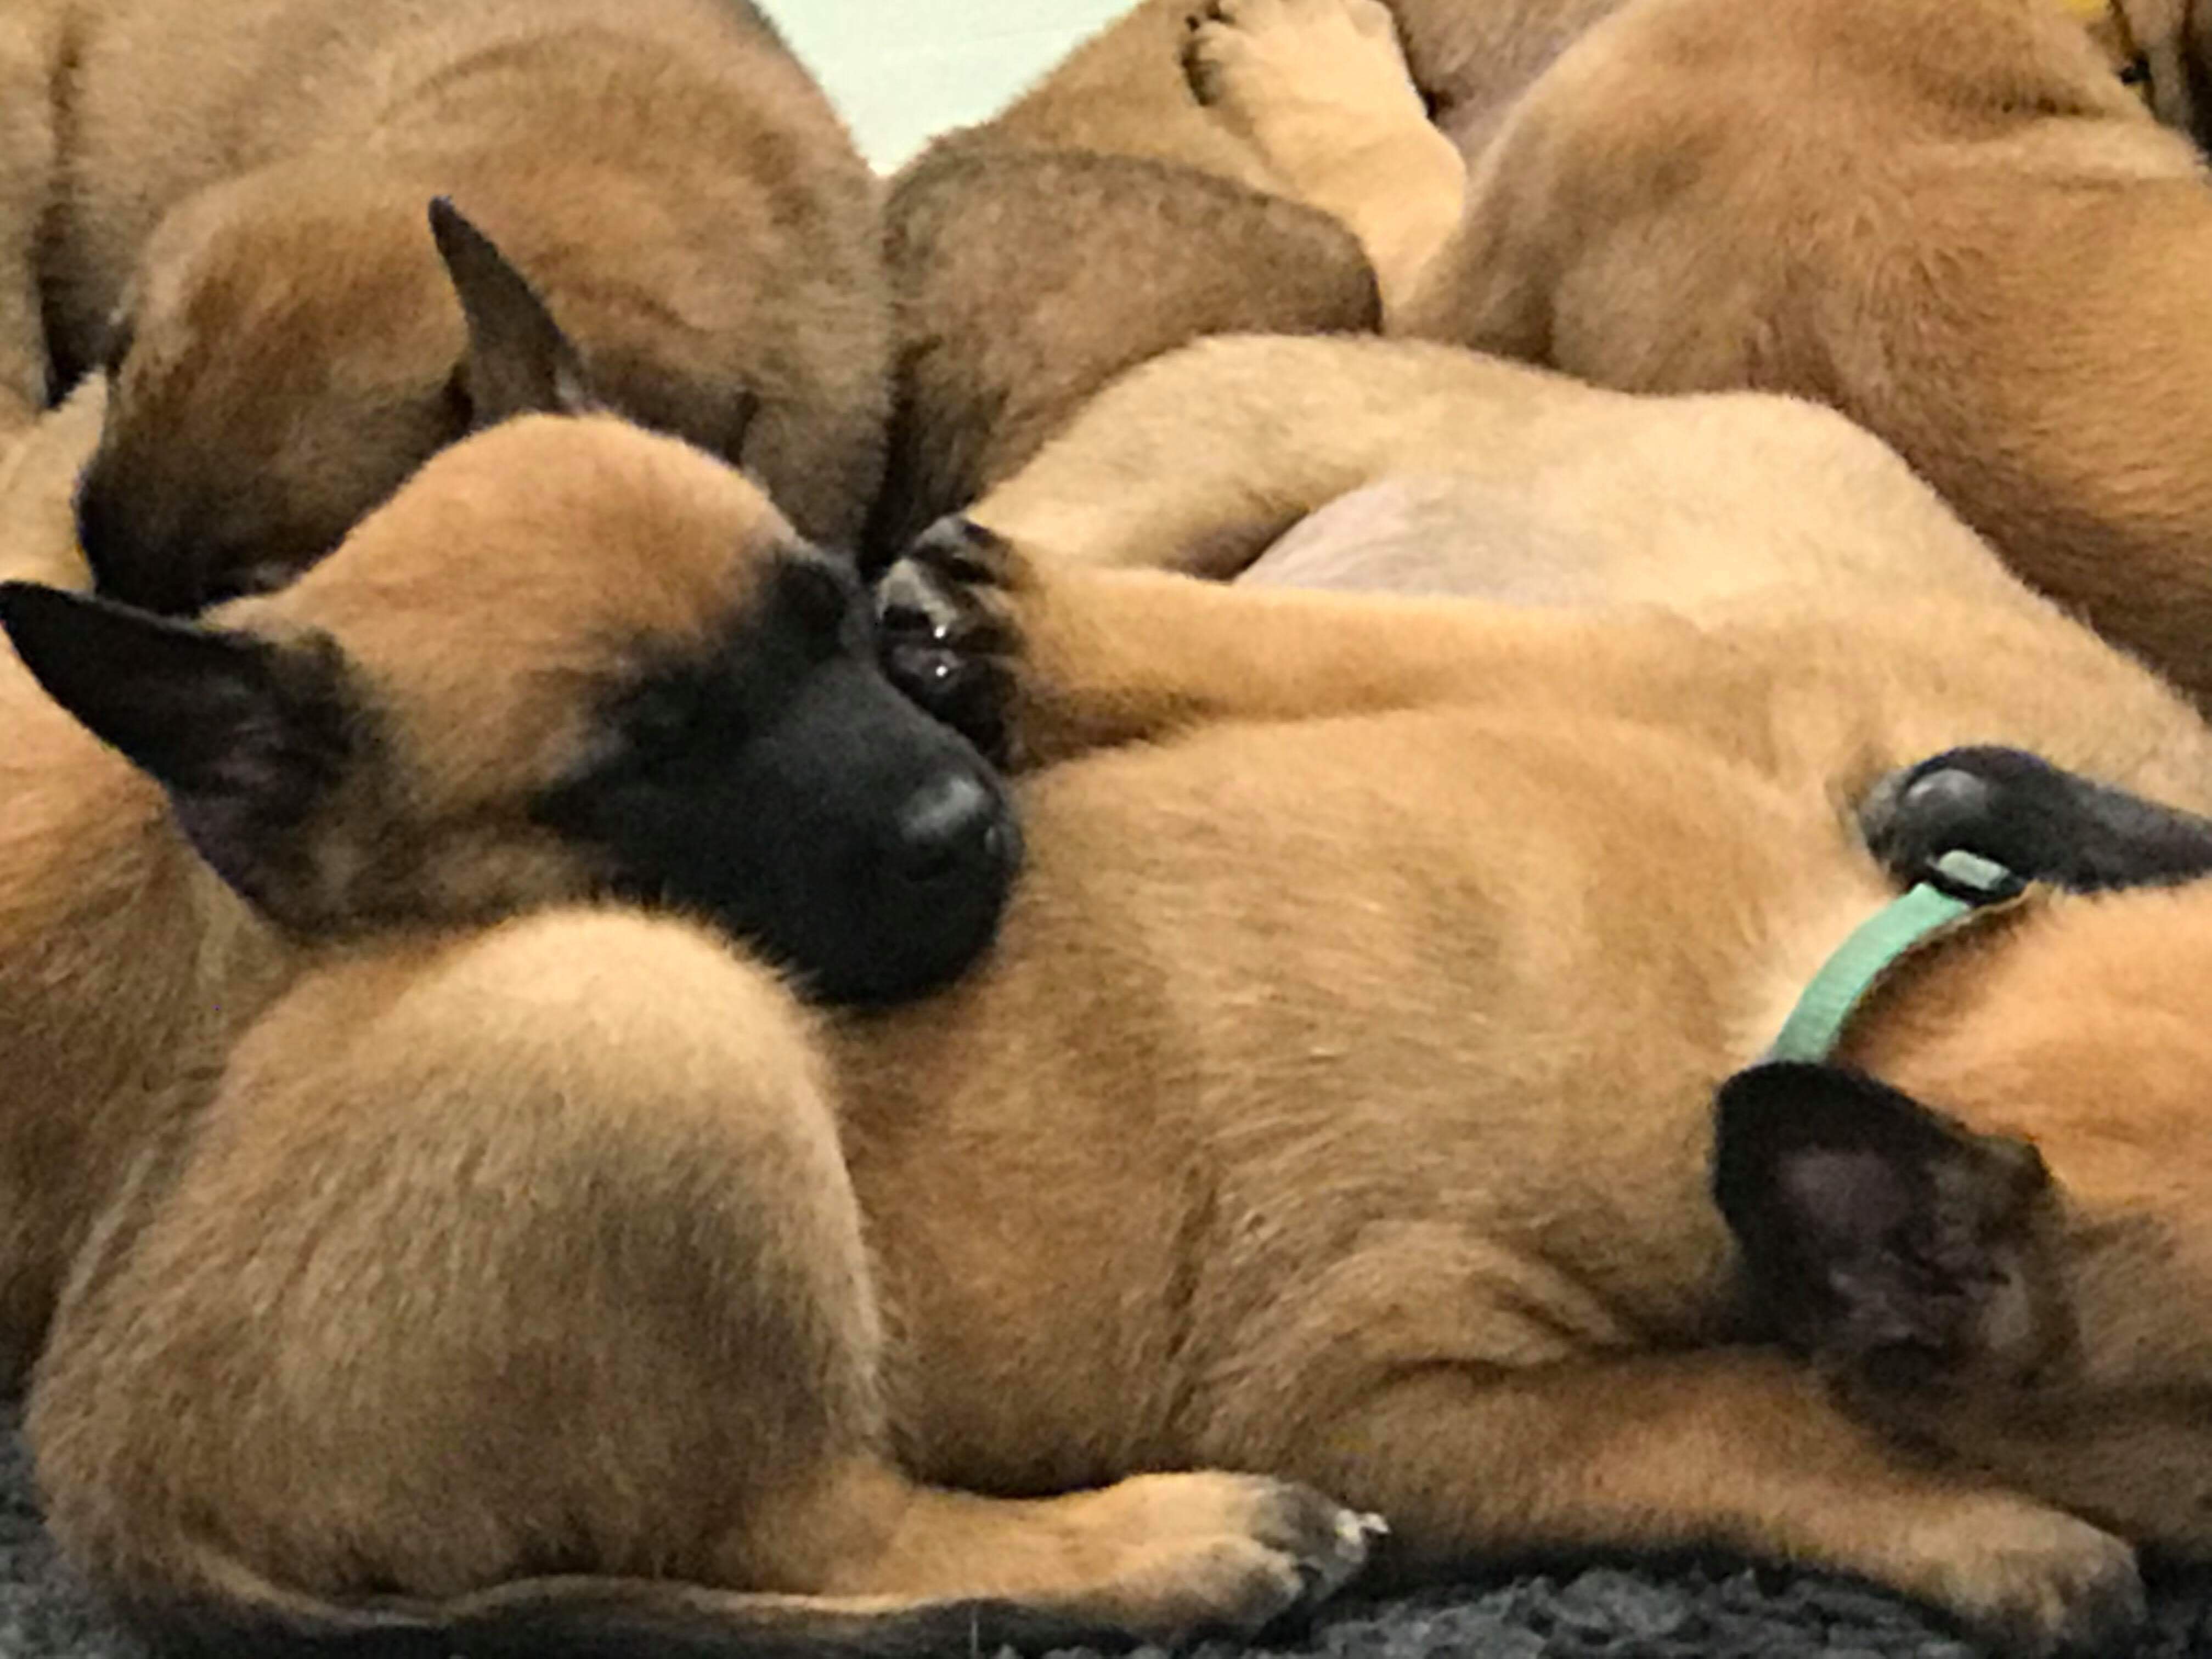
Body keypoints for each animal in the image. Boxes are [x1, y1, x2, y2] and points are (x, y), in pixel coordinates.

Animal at [16, 384, 2212, 1653]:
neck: (1847, 983)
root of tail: (109, 1465)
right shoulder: (1385, 1381)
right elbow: (1730, 1405)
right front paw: (1996, 1529)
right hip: (648, 1012)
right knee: (827, 1530)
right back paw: (1169, 1549)